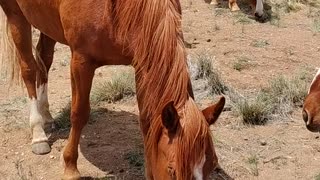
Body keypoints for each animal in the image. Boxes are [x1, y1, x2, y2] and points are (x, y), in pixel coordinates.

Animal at [0, 0, 225, 179]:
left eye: (212, 166)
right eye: (172, 169)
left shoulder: (141, 64)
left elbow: (146, 121)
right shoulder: (81, 61)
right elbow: (79, 114)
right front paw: (70, 168)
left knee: (44, 59)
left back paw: (47, 116)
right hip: (15, 15)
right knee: (29, 69)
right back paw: (38, 133)